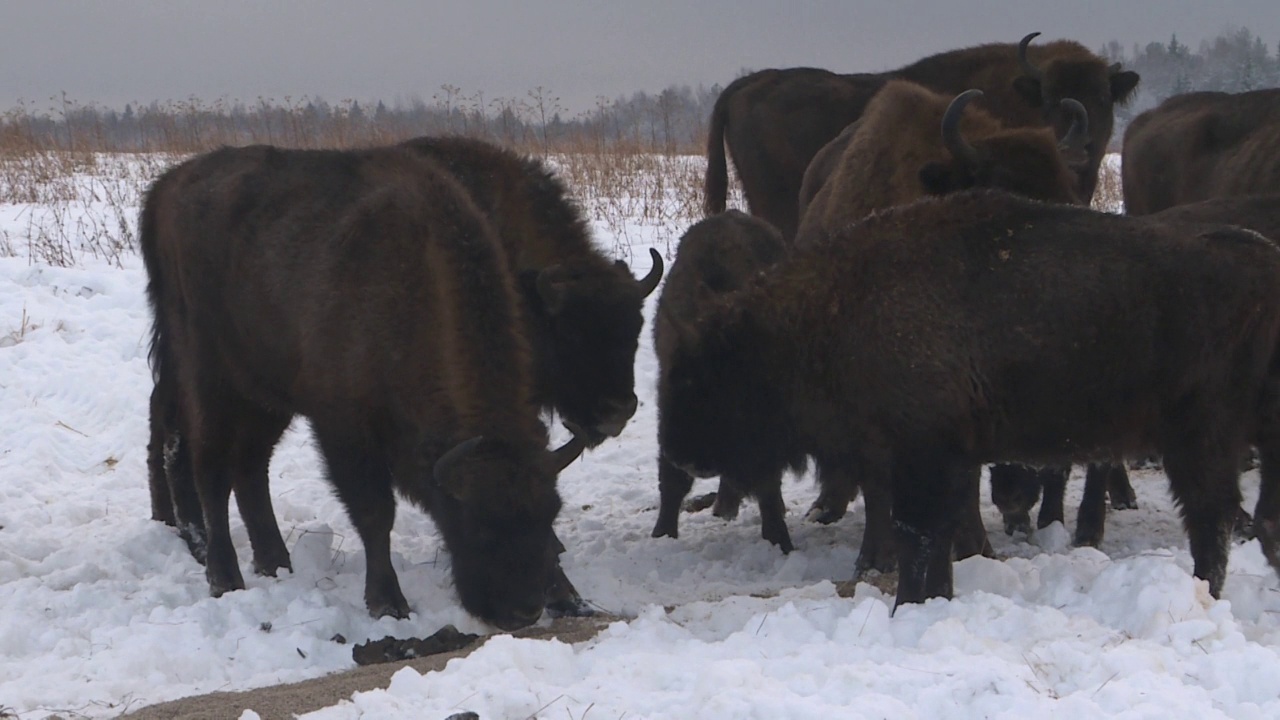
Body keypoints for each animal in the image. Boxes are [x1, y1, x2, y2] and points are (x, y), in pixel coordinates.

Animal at [655, 210, 793, 545]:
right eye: (681, 386)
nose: (687, 460)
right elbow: (671, 481)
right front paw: (662, 534)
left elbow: (767, 480)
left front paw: (777, 537)